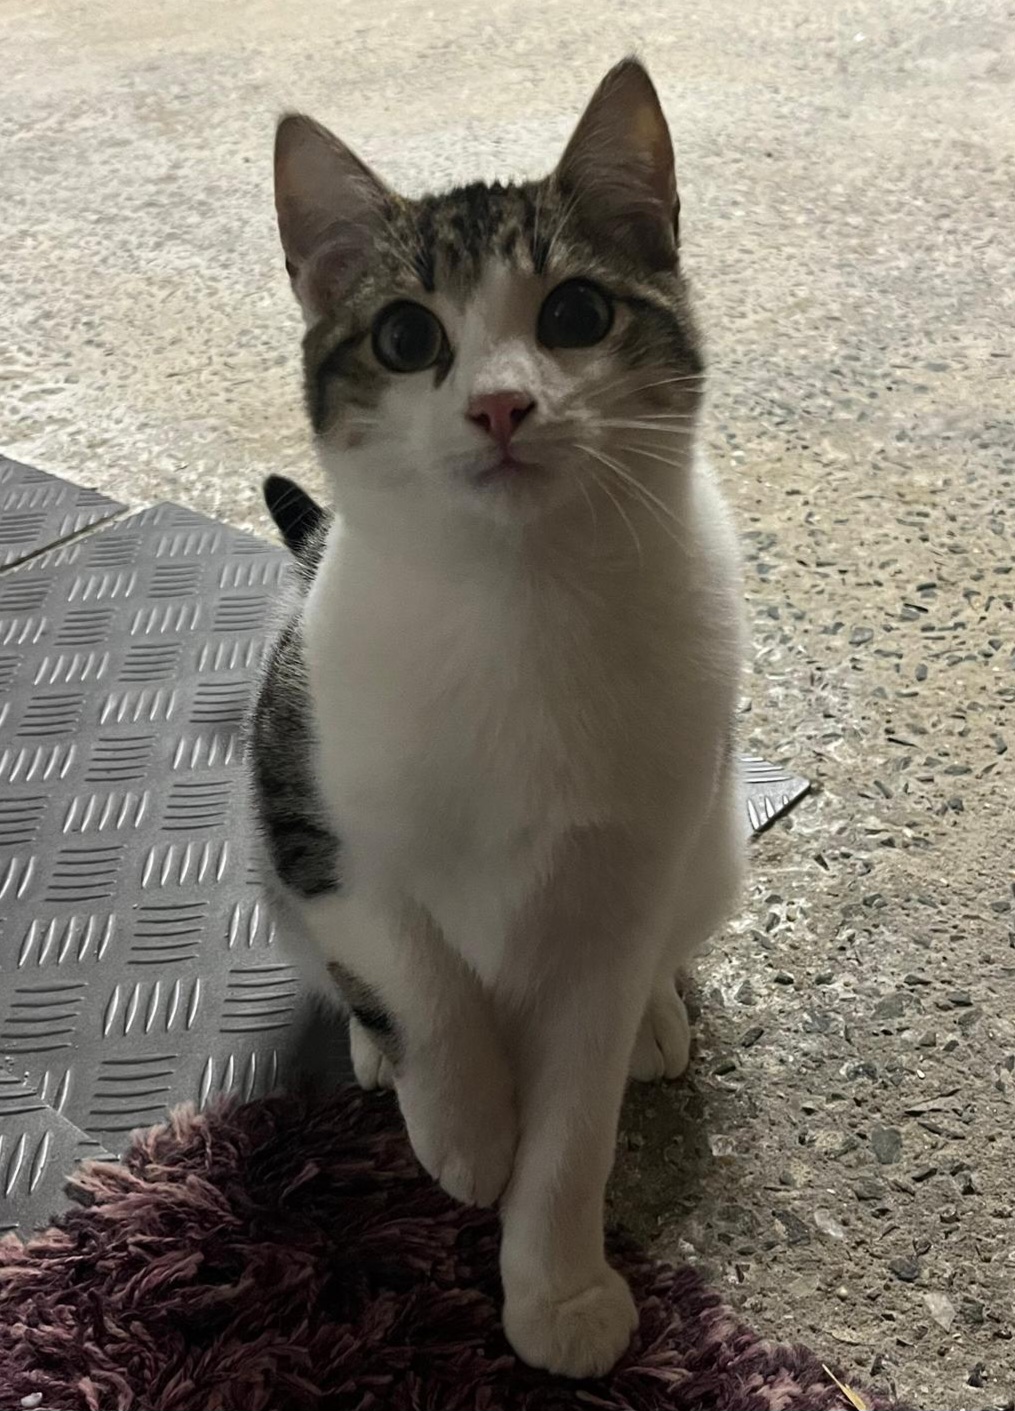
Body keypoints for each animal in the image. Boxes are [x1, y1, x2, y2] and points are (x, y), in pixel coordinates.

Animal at [250, 57, 746, 1379]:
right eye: (405, 335)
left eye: (575, 313)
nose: (502, 408)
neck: (517, 603)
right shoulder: (312, 801)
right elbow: (415, 964)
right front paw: (463, 1123)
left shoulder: (618, 891)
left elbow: (576, 1123)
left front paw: (558, 1287)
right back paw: (384, 1056)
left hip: (711, 843)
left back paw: (659, 1020)